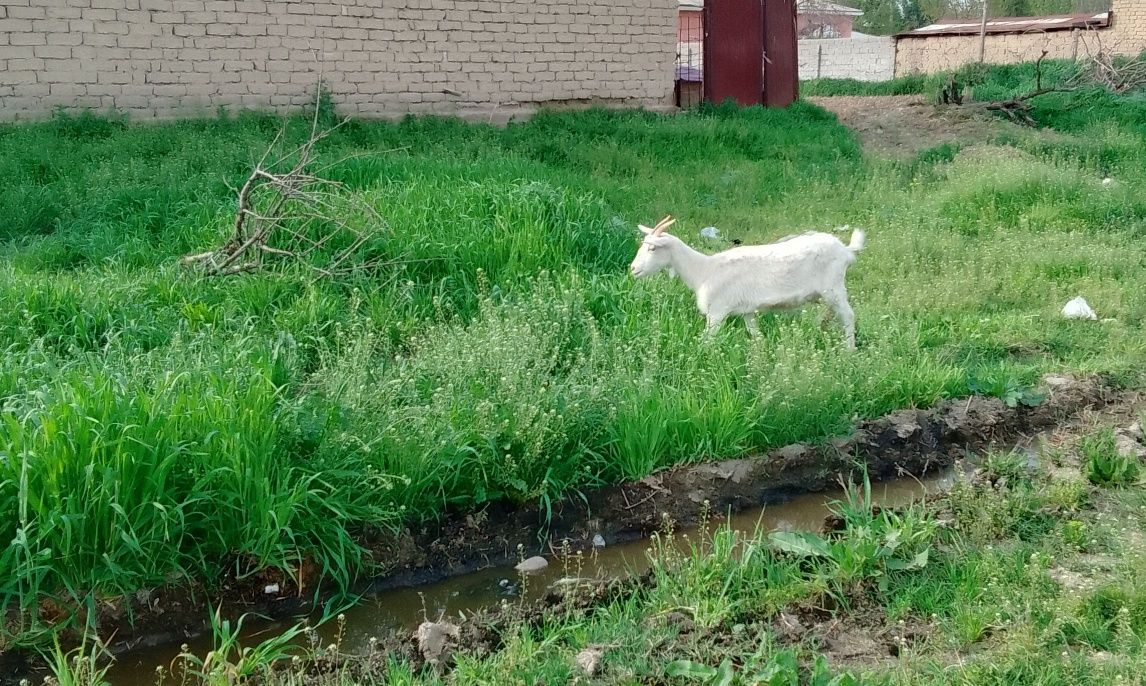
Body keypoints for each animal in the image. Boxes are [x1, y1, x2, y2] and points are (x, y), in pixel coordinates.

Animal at [632, 216, 861, 348]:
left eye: (652, 248)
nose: (633, 269)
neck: (703, 271)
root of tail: (846, 250)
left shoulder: (717, 312)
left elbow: (706, 341)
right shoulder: (747, 311)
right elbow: (756, 335)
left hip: (834, 287)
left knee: (849, 316)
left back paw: (848, 351)